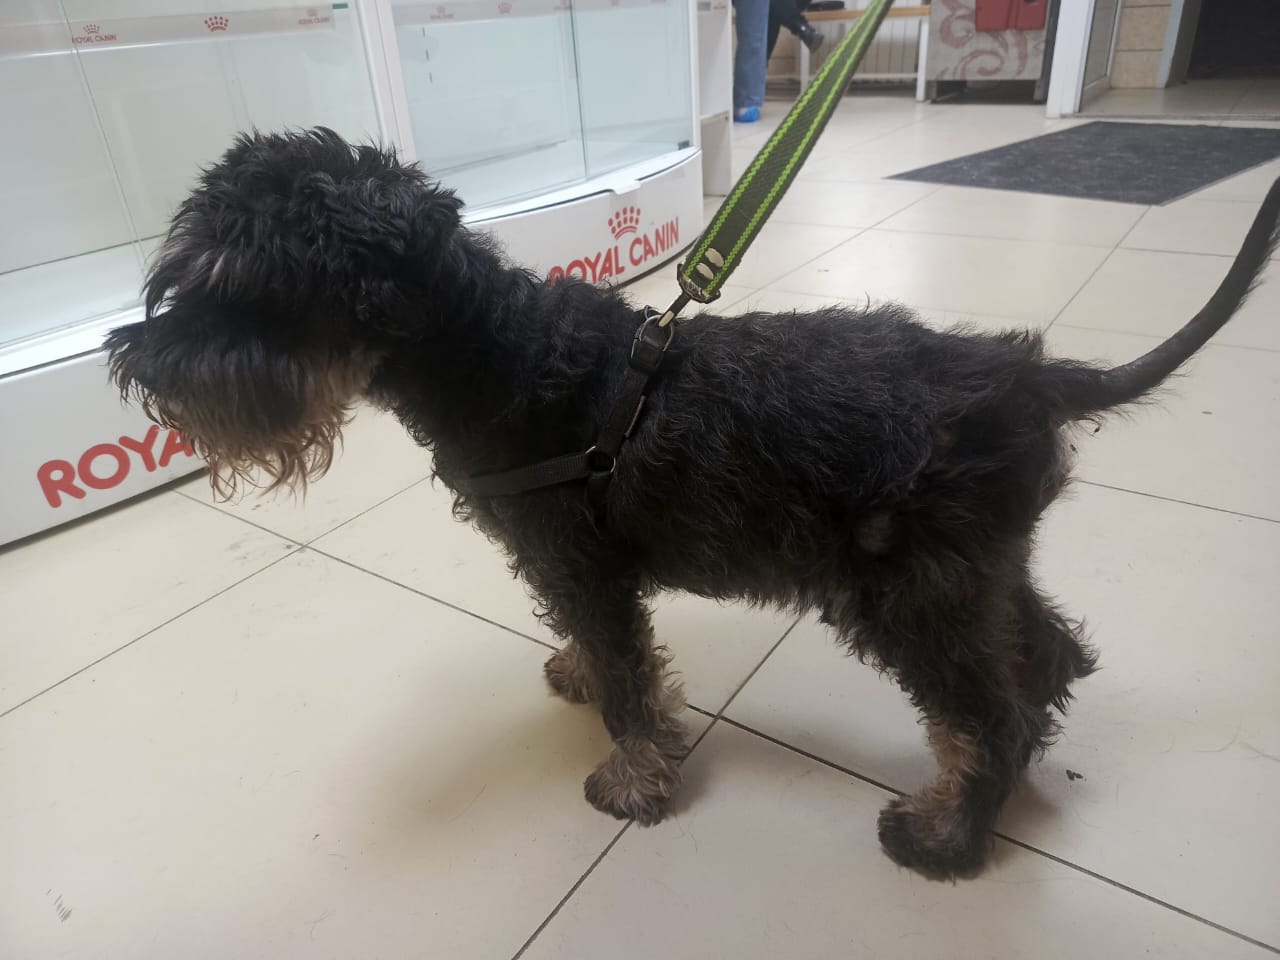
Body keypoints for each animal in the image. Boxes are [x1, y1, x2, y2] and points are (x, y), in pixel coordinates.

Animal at [106, 128, 1280, 876]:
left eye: (243, 286)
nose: (134, 362)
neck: (498, 352)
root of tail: (1030, 377)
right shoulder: (569, 570)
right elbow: (603, 657)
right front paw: (577, 677)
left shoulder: (581, 565)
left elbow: (631, 686)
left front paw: (632, 783)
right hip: (971, 573)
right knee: (1044, 656)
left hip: (906, 595)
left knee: (986, 715)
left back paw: (945, 838)